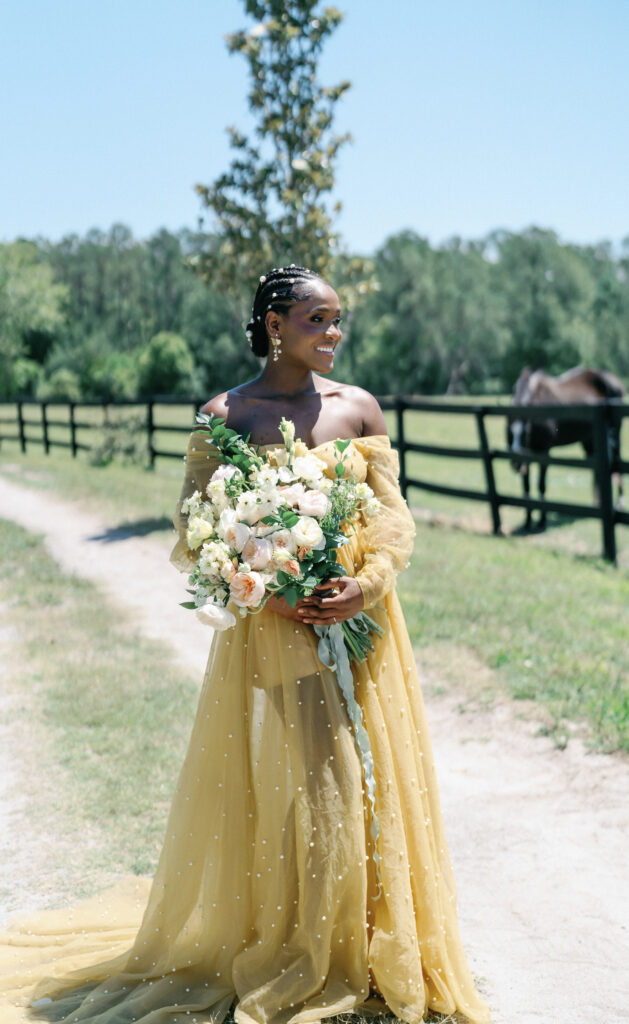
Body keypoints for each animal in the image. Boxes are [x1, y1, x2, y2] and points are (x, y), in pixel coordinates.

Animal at [510, 366, 626, 528]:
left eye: (525, 432)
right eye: (509, 431)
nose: (516, 463)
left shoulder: (544, 452)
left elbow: (541, 484)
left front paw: (542, 520)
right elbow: (526, 488)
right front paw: (527, 521)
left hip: (614, 436)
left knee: (617, 468)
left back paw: (619, 504)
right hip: (590, 440)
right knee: (597, 472)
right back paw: (597, 505)